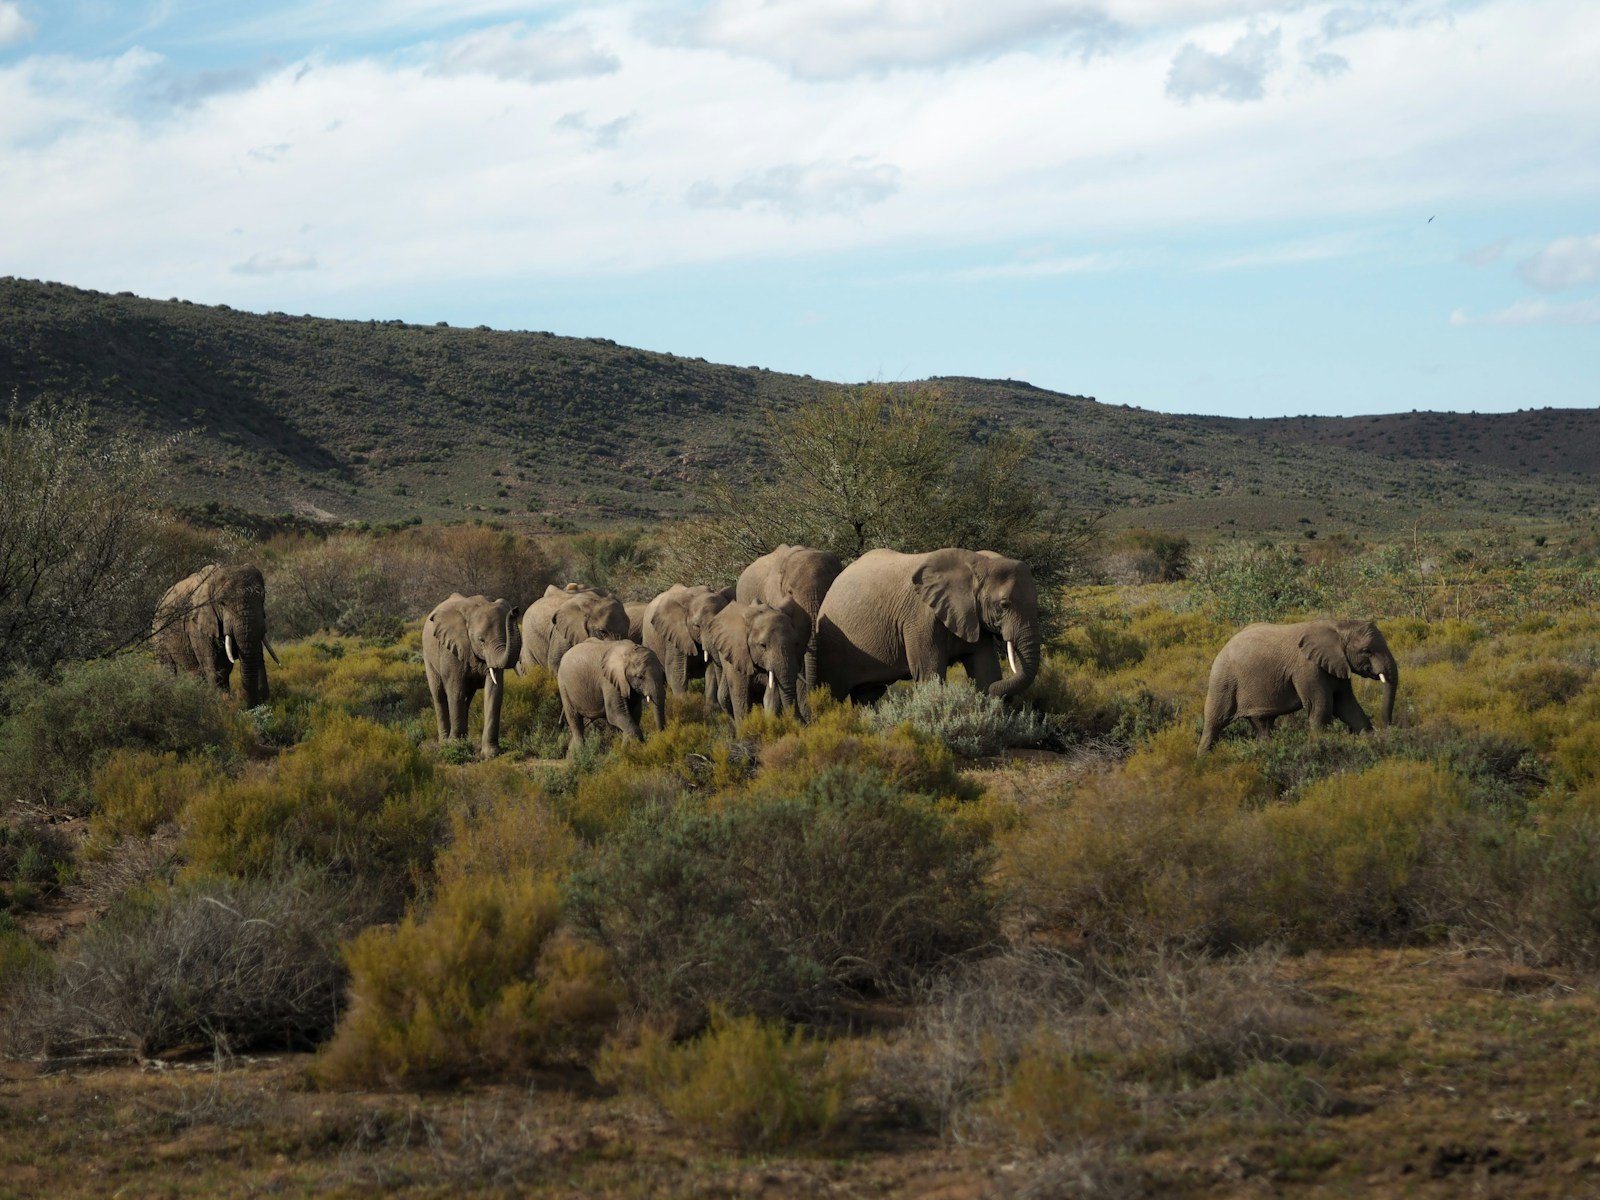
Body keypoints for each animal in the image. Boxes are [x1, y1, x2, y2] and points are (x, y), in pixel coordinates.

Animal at [152, 564, 279, 708]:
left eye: (262, 598)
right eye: (222, 603)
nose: (253, 704)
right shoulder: (197, 624)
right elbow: (216, 669)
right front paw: (223, 705)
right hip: (158, 635)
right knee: (168, 668)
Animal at [422, 593, 522, 758]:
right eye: (481, 640)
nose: (515, 610)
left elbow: (494, 691)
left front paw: (491, 754)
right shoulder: (451, 649)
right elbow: (455, 691)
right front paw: (455, 746)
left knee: (467, 698)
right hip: (428, 656)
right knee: (439, 694)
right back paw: (445, 743)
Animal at [816, 548, 1041, 704]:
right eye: (1004, 605)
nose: (1010, 699)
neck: (976, 563)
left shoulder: (974, 617)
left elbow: (986, 670)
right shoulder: (920, 619)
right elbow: (930, 673)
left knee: (867, 696)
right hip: (831, 643)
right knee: (830, 693)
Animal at [1197, 619, 1398, 754]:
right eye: (1367, 650)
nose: (1387, 730)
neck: (1338, 626)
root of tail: (1222, 646)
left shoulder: (1338, 665)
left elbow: (1348, 707)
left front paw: (1372, 743)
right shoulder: (1307, 669)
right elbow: (1322, 708)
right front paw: (1319, 747)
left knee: (1262, 724)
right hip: (1224, 680)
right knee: (1214, 722)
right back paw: (1202, 762)